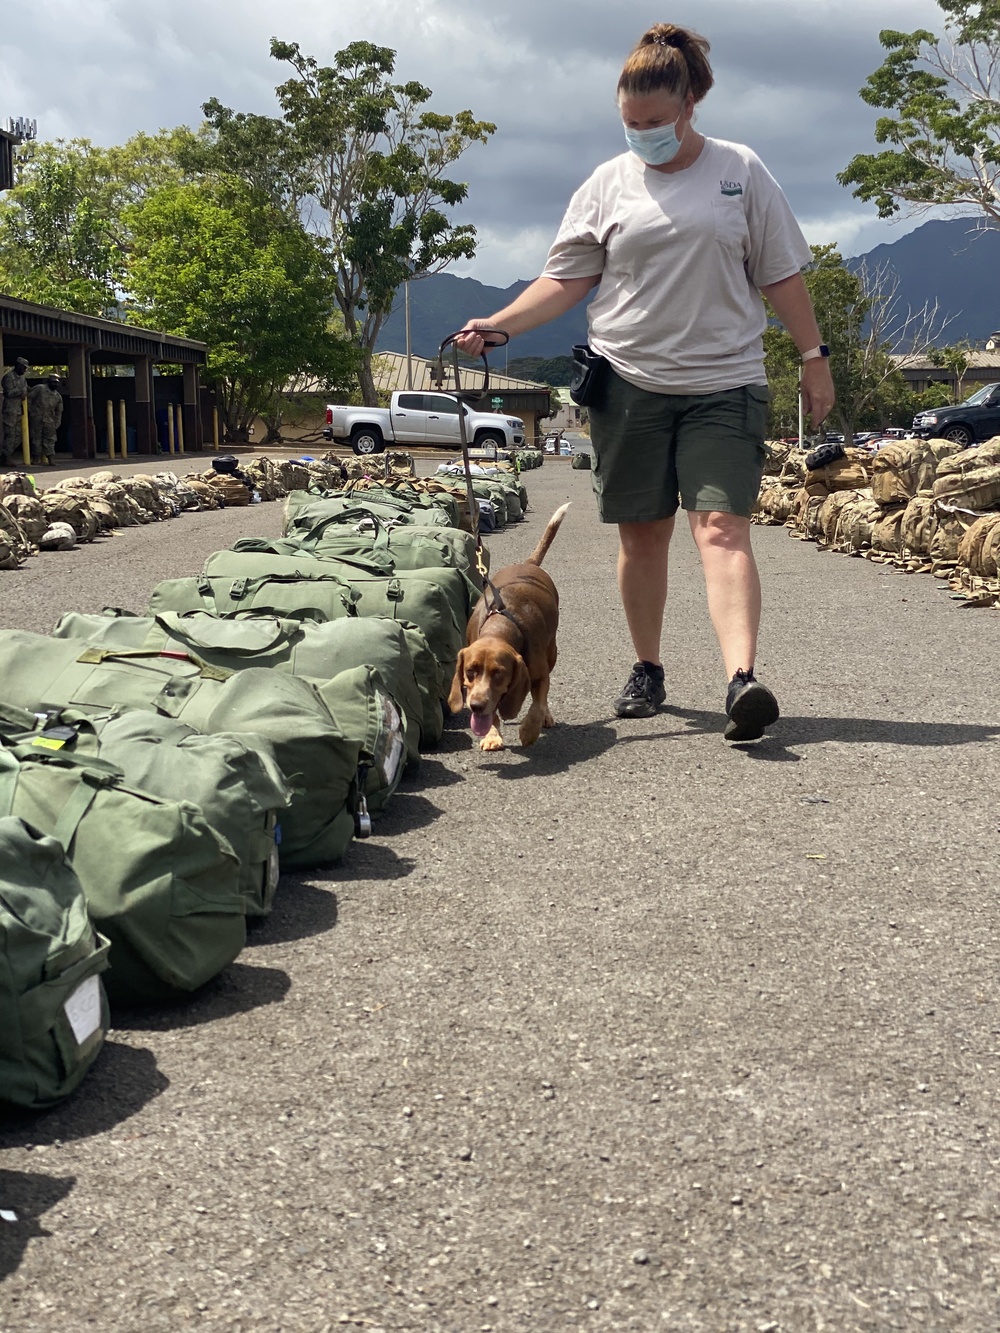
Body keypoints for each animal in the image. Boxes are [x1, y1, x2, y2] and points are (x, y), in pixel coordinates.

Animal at [448, 501, 568, 751]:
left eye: (499, 674)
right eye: (470, 671)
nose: (475, 706)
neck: (500, 625)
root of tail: (527, 563)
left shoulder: (540, 675)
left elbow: (537, 704)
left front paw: (529, 731)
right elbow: (493, 714)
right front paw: (492, 735)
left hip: (552, 653)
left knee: (542, 698)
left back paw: (545, 718)